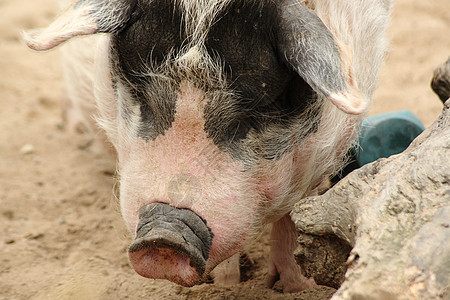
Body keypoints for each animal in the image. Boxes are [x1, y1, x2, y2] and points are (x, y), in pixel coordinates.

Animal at [23, 0, 390, 292]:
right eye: (141, 91)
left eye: (259, 105)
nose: (165, 237)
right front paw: (223, 286)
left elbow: (294, 214)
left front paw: (298, 288)